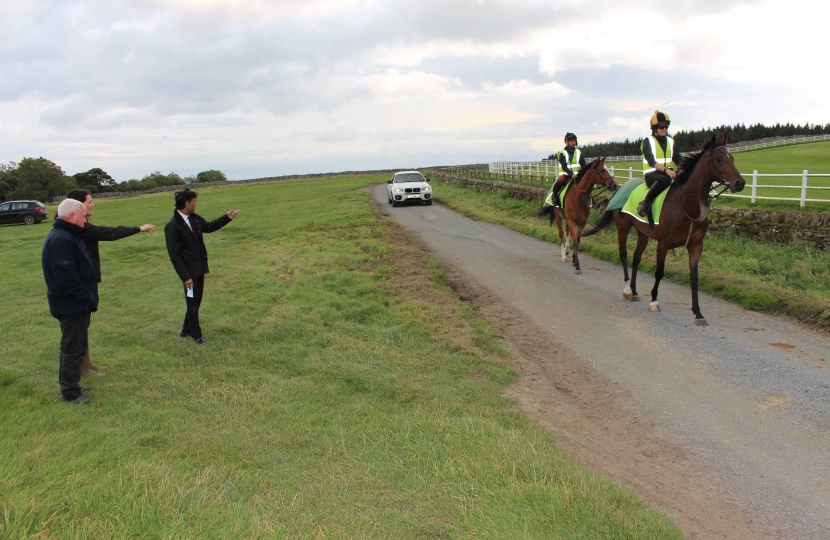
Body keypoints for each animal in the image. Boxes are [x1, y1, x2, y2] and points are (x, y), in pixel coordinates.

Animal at [580, 136, 752, 324]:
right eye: (719, 159)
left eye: (732, 158)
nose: (740, 183)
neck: (685, 205)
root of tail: (622, 187)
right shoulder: (663, 244)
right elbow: (659, 272)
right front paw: (654, 301)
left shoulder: (696, 246)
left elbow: (694, 278)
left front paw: (698, 313)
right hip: (623, 227)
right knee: (624, 254)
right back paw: (627, 289)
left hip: (643, 233)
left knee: (636, 258)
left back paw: (634, 291)